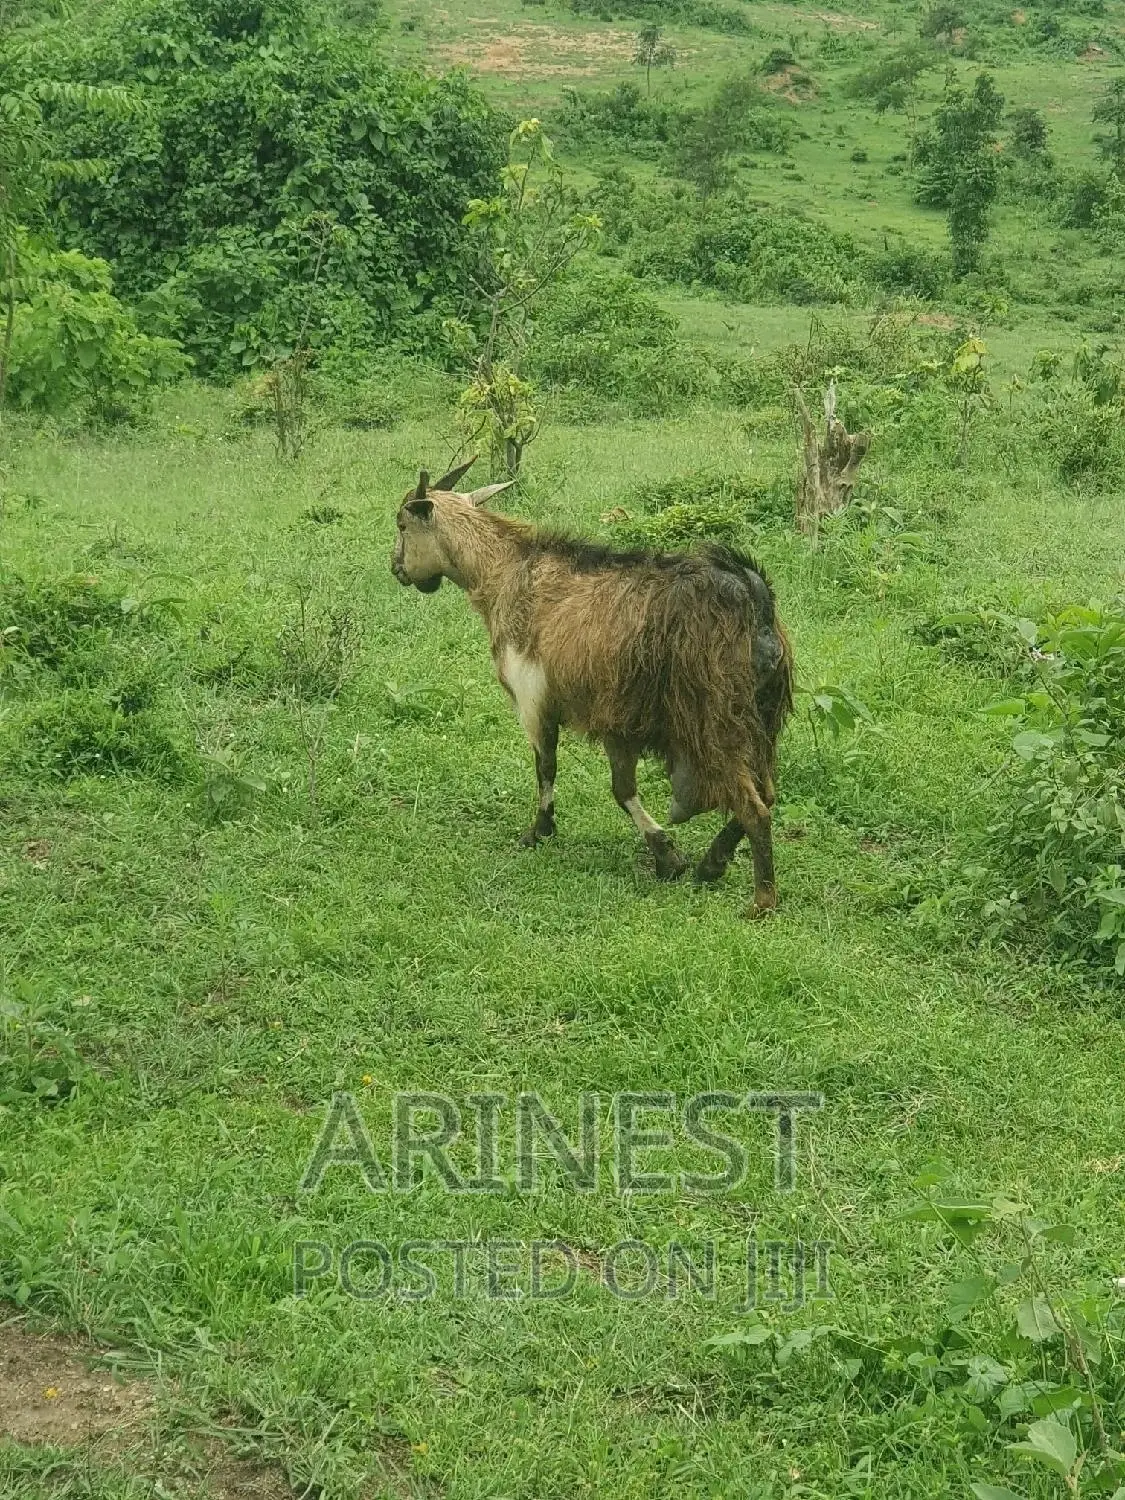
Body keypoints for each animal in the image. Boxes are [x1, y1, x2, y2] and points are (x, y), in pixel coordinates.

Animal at [390, 459, 793, 914]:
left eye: (402, 524)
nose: (396, 568)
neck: (504, 571)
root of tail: (754, 601)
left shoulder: (534, 700)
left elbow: (548, 767)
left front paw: (541, 831)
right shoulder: (619, 723)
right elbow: (621, 788)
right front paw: (669, 857)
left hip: (715, 722)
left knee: (756, 808)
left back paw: (761, 901)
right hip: (763, 719)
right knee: (768, 792)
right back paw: (712, 863)